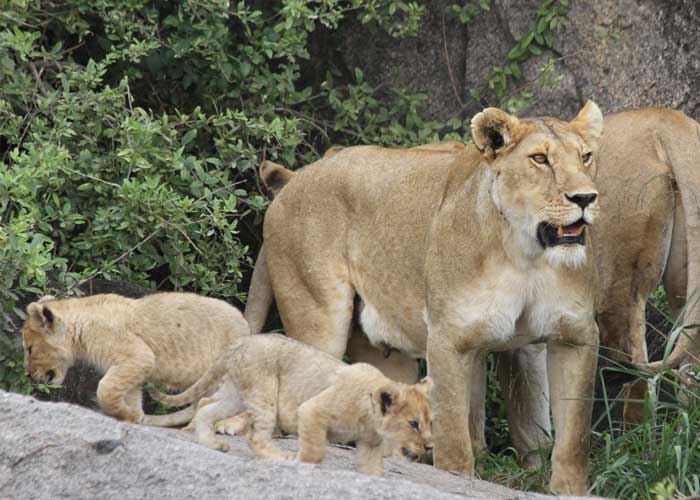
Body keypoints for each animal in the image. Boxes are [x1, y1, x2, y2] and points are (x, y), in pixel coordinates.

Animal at [21, 292, 250, 424]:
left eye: (30, 349)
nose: (28, 375)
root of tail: (247, 328)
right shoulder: (134, 367)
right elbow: (130, 394)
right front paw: (133, 416)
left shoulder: (138, 356)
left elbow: (105, 389)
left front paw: (127, 415)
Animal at [149, 334, 432, 474]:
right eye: (413, 424)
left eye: (429, 423)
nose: (429, 446)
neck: (370, 419)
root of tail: (242, 341)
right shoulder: (311, 410)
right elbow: (314, 452)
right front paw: (298, 461)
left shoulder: (370, 445)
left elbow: (374, 472)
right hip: (264, 393)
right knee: (255, 436)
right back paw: (280, 456)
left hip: (236, 394)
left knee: (207, 405)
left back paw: (212, 443)